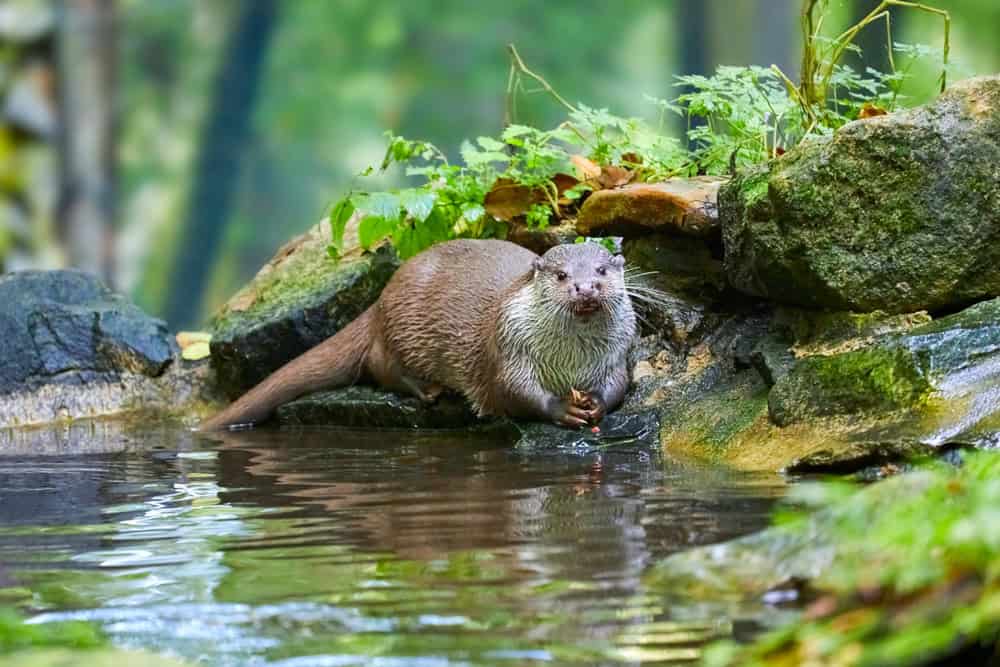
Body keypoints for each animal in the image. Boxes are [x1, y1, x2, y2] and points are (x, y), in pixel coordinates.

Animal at [201, 239, 636, 430]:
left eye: (601, 271)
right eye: (562, 275)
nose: (585, 287)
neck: (568, 362)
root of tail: (381, 298)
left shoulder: (615, 356)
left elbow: (618, 385)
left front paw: (594, 404)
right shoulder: (510, 348)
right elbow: (515, 393)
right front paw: (563, 409)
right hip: (405, 328)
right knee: (380, 364)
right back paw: (427, 390)